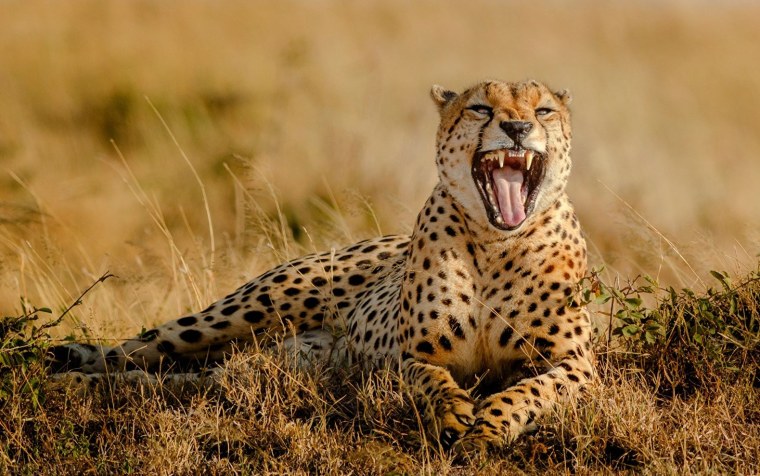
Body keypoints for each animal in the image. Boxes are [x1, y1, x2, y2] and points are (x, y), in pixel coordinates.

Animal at [50, 79, 594, 452]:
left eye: (543, 109)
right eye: (482, 107)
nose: (517, 127)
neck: (497, 241)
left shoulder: (576, 365)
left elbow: (528, 391)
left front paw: (487, 428)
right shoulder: (411, 357)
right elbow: (434, 382)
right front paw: (454, 414)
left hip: (265, 366)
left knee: (177, 381)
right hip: (245, 311)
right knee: (142, 348)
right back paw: (60, 368)